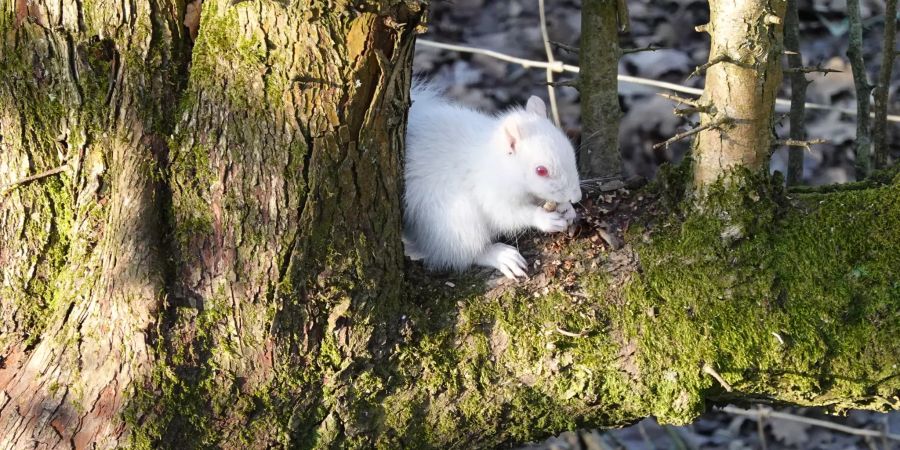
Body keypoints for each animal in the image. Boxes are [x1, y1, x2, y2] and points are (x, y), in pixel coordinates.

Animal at [402, 82, 584, 276]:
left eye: (570, 149)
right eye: (541, 170)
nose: (576, 197)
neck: (502, 166)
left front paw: (567, 208)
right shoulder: (489, 192)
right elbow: (506, 214)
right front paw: (544, 219)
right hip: (456, 220)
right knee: (463, 253)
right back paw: (500, 255)